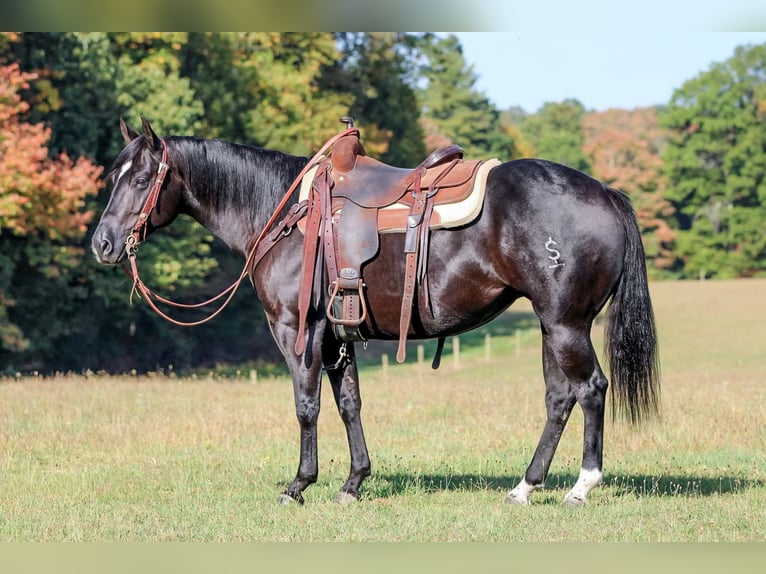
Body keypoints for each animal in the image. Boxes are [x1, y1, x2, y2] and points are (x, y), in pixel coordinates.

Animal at [91, 117, 660, 506]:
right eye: (114, 174)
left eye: (140, 180)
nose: (103, 244)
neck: (285, 211)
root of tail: (604, 192)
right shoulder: (337, 337)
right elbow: (349, 405)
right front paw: (353, 482)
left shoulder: (298, 330)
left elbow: (307, 406)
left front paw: (298, 485)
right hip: (551, 324)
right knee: (560, 398)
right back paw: (525, 486)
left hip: (566, 325)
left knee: (591, 390)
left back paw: (581, 486)